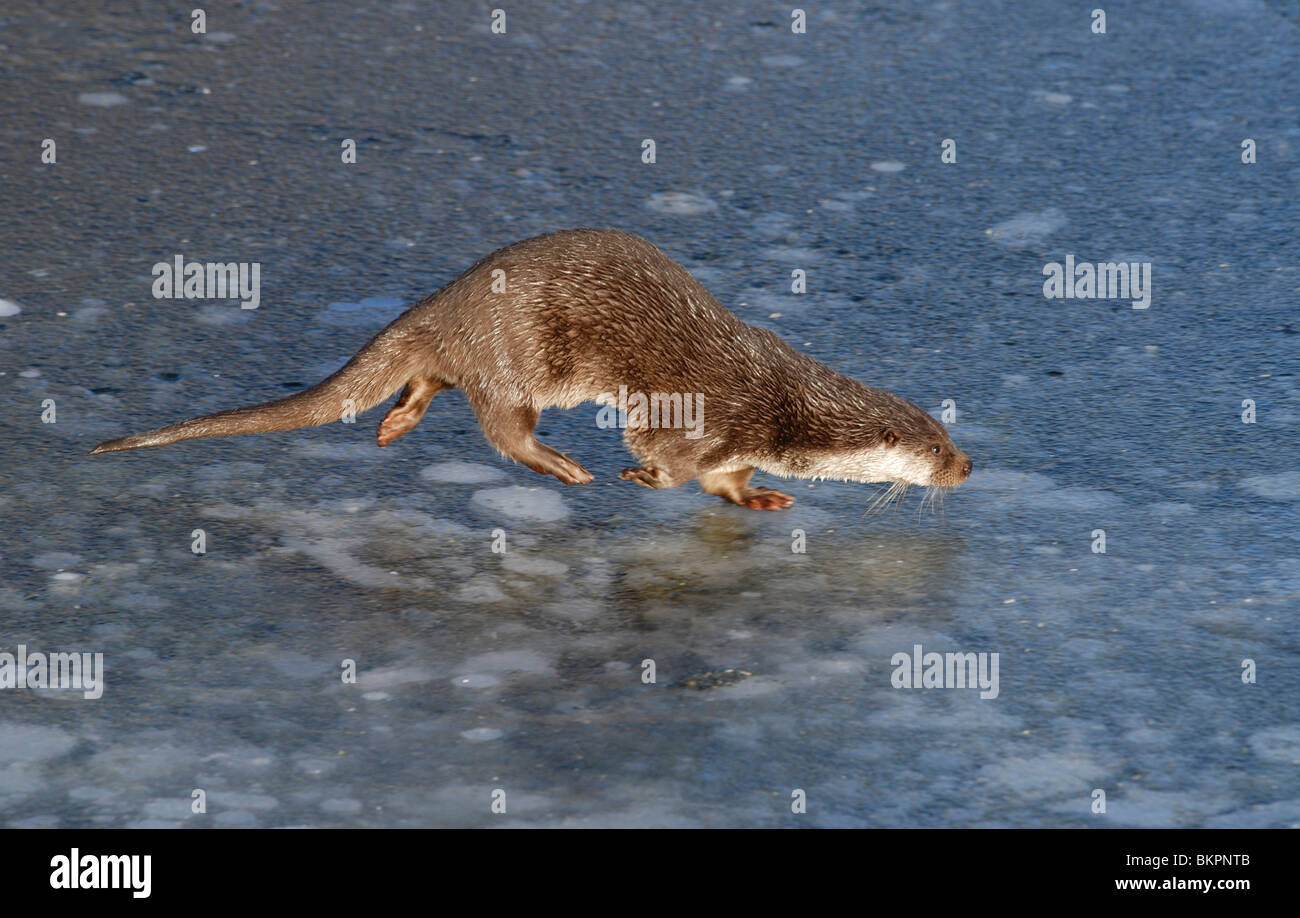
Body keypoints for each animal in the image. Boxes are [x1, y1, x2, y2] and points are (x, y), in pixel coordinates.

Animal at [94, 227, 967, 507]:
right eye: (935, 446)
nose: (967, 467)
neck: (788, 411)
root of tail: (445, 300)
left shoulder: (740, 444)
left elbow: (726, 483)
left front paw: (760, 500)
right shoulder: (713, 418)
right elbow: (672, 462)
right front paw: (639, 478)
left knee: (432, 377)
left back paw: (396, 423)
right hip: (521, 354)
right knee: (501, 427)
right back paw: (564, 465)